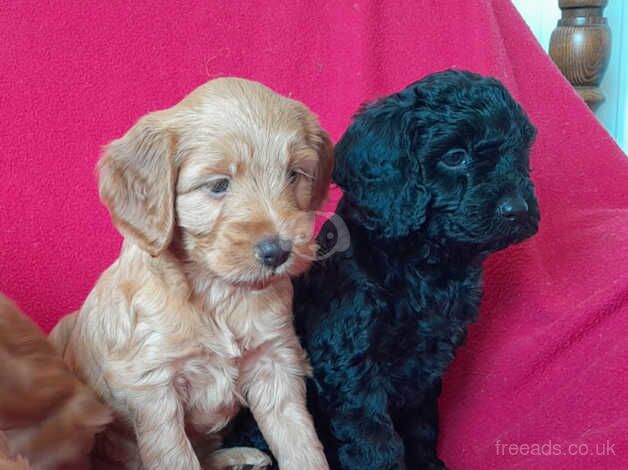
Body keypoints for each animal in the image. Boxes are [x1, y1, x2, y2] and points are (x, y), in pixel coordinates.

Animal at [50, 78, 334, 470]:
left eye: (294, 174)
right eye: (218, 185)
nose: (278, 251)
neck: (219, 294)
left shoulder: (275, 361)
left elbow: (300, 441)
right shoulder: (153, 385)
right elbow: (177, 457)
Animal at [226, 70, 540, 470]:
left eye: (520, 153)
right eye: (455, 157)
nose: (518, 209)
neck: (423, 264)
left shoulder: (428, 364)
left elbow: (422, 425)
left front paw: (428, 464)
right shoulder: (349, 359)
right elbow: (374, 438)